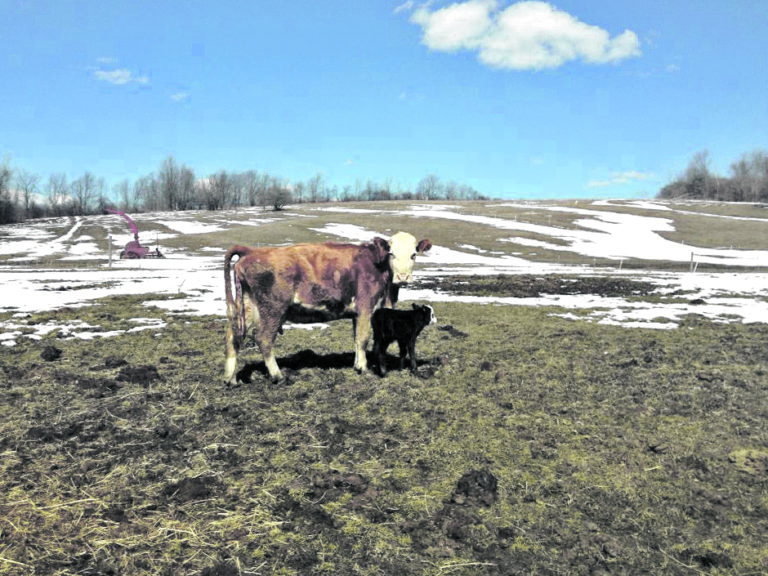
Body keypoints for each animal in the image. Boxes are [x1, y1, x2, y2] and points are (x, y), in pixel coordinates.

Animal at [224, 233, 431, 384]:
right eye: (391, 253)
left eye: (413, 255)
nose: (403, 277)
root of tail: (251, 251)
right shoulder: (365, 307)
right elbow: (364, 338)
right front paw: (363, 368)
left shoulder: (358, 313)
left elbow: (357, 338)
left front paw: (357, 364)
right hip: (272, 310)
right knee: (264, 339)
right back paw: (278, 376)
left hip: (248, 307)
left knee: (232, 337)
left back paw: (230, 378)